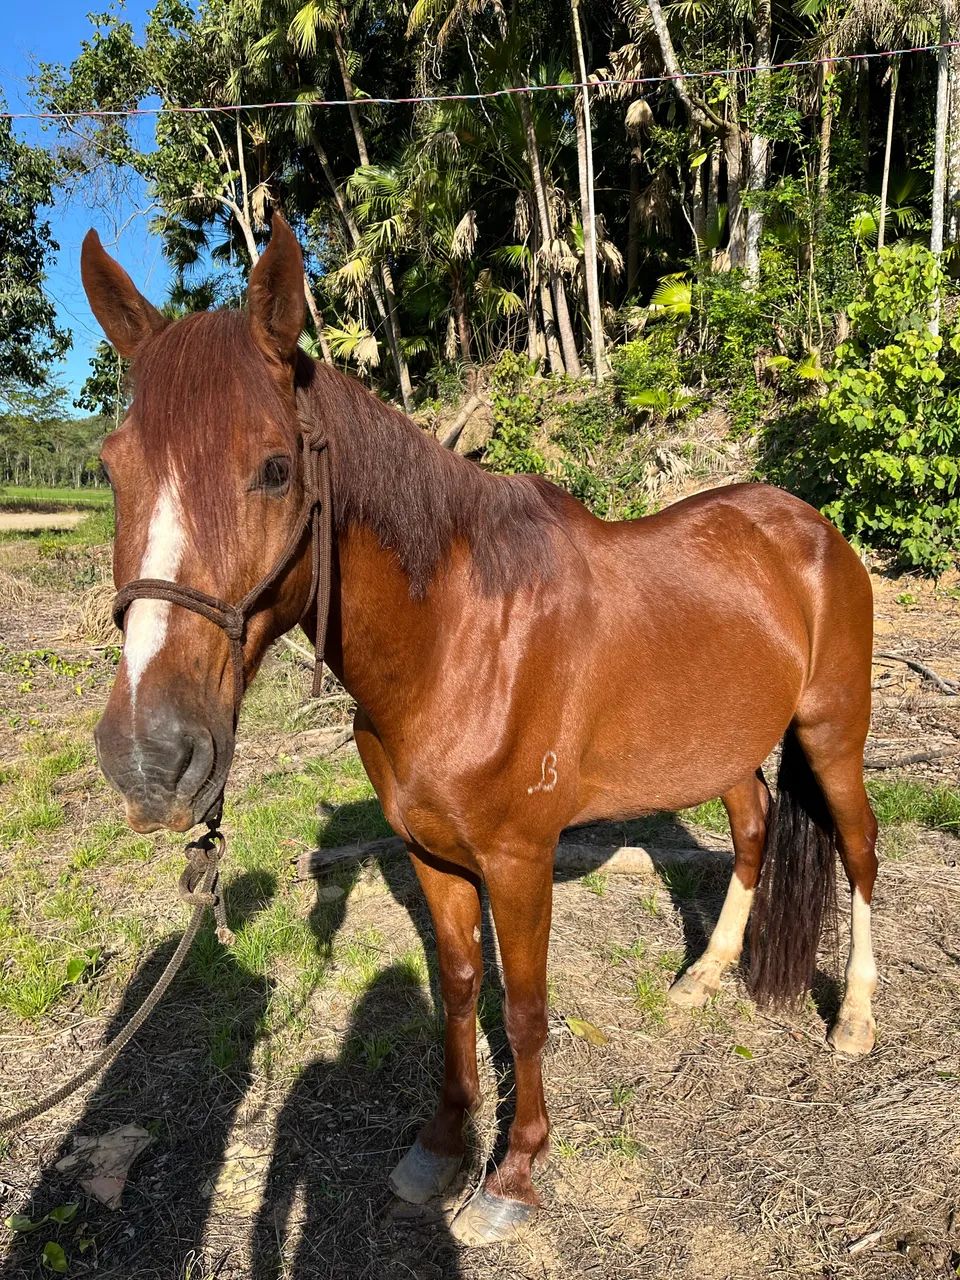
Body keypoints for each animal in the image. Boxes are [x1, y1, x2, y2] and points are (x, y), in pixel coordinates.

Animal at [81, 215, 879, 1247]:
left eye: (276, 467)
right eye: (112, 469)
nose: (152, 756)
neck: (459, 638)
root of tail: (810, 528)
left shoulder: (519, 860)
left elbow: (526, 1006)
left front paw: (516, 1173)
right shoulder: (433, 854)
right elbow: (459, 991)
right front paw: (443, 1147)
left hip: (832, 733)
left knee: (859, 850)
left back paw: (855, 1020)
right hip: (725, 749)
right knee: (752, 830)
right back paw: (704, 978)